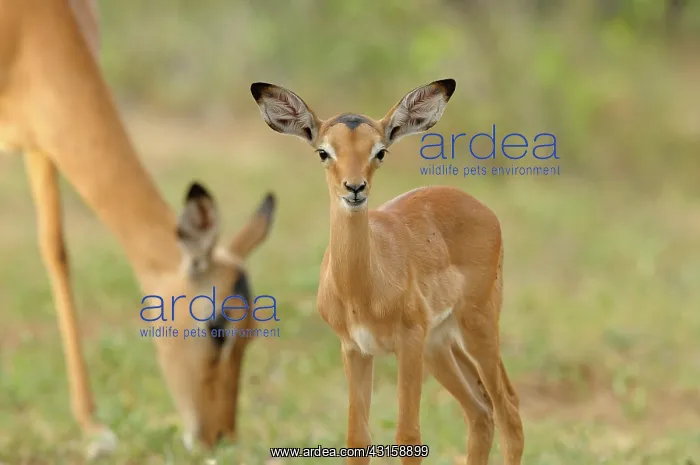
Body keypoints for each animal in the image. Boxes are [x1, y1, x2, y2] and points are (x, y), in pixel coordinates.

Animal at [0, 0, 276, 457]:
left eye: (253, 331)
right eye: (217, 328)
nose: (218, 437)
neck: (30, 26)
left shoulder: (43, 140)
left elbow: (56, 252)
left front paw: (93, 429)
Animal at [250, 79, 524, 464]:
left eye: (379, 151)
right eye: (323, 152)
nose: (354, 188)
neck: (360, 290)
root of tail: (483, 208)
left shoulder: (407, 345)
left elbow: (408, 436)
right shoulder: (355, 349)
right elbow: (357, 439)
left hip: (477, 328)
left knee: (508, 411)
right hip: (440, 345)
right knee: (480, 413)